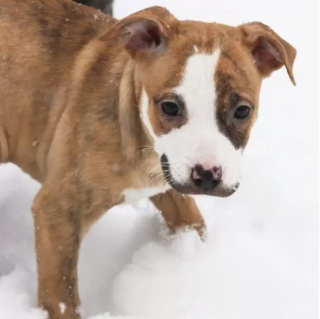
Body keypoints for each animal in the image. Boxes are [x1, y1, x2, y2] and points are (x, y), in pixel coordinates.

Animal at [0, 1, 296, 318]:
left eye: (242, 110)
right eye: (169, 107)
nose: (206, 175)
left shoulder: (168, 181)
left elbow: (191, 220)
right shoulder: (58, 210)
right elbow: (61, 296)